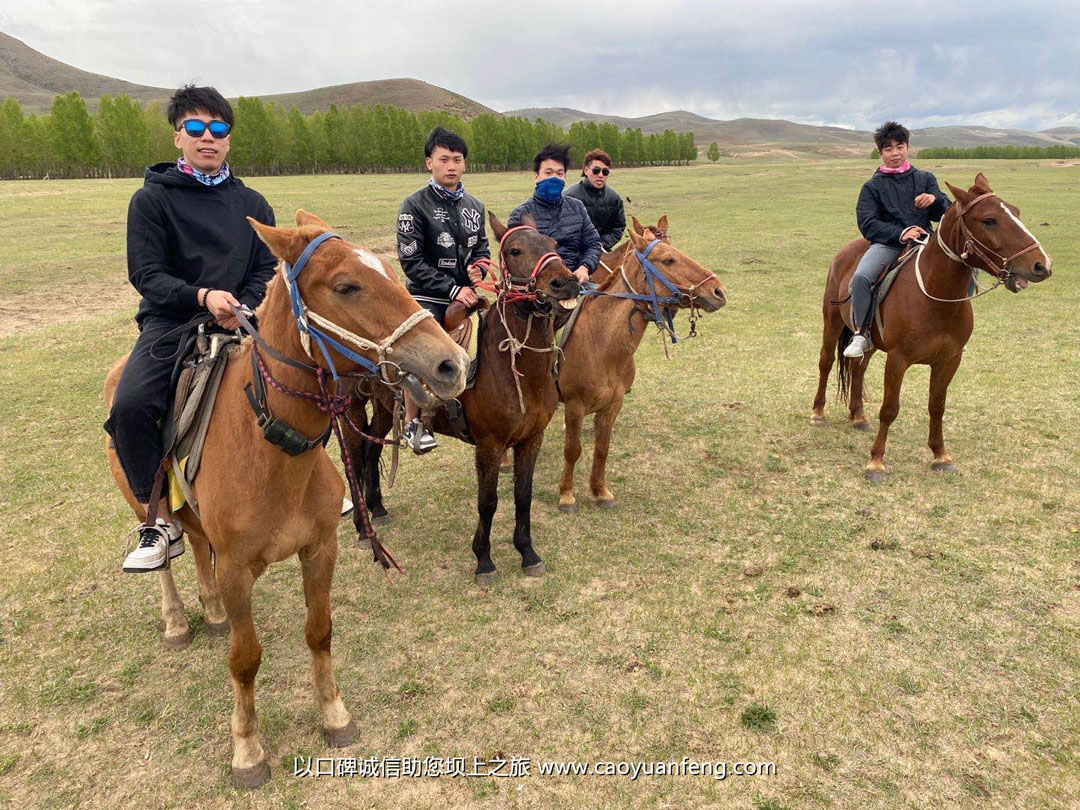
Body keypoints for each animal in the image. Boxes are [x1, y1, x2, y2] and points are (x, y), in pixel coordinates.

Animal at [102, 212, 468, 790]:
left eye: (390, 269)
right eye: (347, 286)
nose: (453, 363)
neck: (273, 452)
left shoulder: (319, 550)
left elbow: (319, 632)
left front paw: (334, 715)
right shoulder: (236, 571)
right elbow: (245, 659)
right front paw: (247, 749)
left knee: (198, 547)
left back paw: (211, 611)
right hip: (144, 504)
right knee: (166, 556)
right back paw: (177, 618)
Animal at [345, 213, 583, 583]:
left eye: (553, 244)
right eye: (514, 250)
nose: (566, 283)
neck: (512, 370)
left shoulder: (531, 439)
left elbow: (523, 495)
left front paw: (527, 553)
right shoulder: (489, 445)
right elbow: (488, 501)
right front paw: (483, 559)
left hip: (385, 407)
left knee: (373, 449)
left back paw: (378, 507)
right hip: (351, 406)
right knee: (355, 459)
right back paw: (361, 526)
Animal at [557, 220, 725, 514]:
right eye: (668, 259)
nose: (718, 291)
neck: (600, 343)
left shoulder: (613, 406)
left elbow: (602, 448)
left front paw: (600, 491)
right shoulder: (575, 406)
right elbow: (572, 450)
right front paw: (567, 495)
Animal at [812, 173, 1049, 479]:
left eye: (1016, 212)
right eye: (989, 220)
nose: (1042, 265)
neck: (937, 297)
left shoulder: (949, 360)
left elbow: (937, 406)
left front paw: (940, 456)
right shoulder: (898, 360)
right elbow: (889, 409)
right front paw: (876, 461)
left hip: (868, 339)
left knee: (857, 367)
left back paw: (859, 416)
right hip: (831, 323)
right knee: (826, 361)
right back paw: (818, 413)